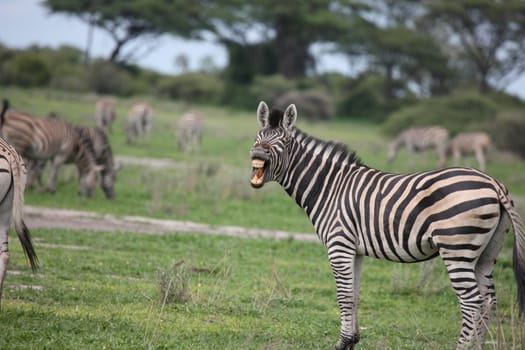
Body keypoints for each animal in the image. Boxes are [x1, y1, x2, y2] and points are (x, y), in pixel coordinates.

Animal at [250, 100, 524, 350]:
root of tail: (494, 183)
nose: (257, 155)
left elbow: (343, 295)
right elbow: (354, 294)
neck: (330, 187)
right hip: (486, 252)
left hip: (457, 248)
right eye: (257, 138)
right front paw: (351, 340)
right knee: (489, 300)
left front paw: (341, 343)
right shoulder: (355, 249)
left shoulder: (339, 245)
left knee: (472, 302)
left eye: (283, 143)